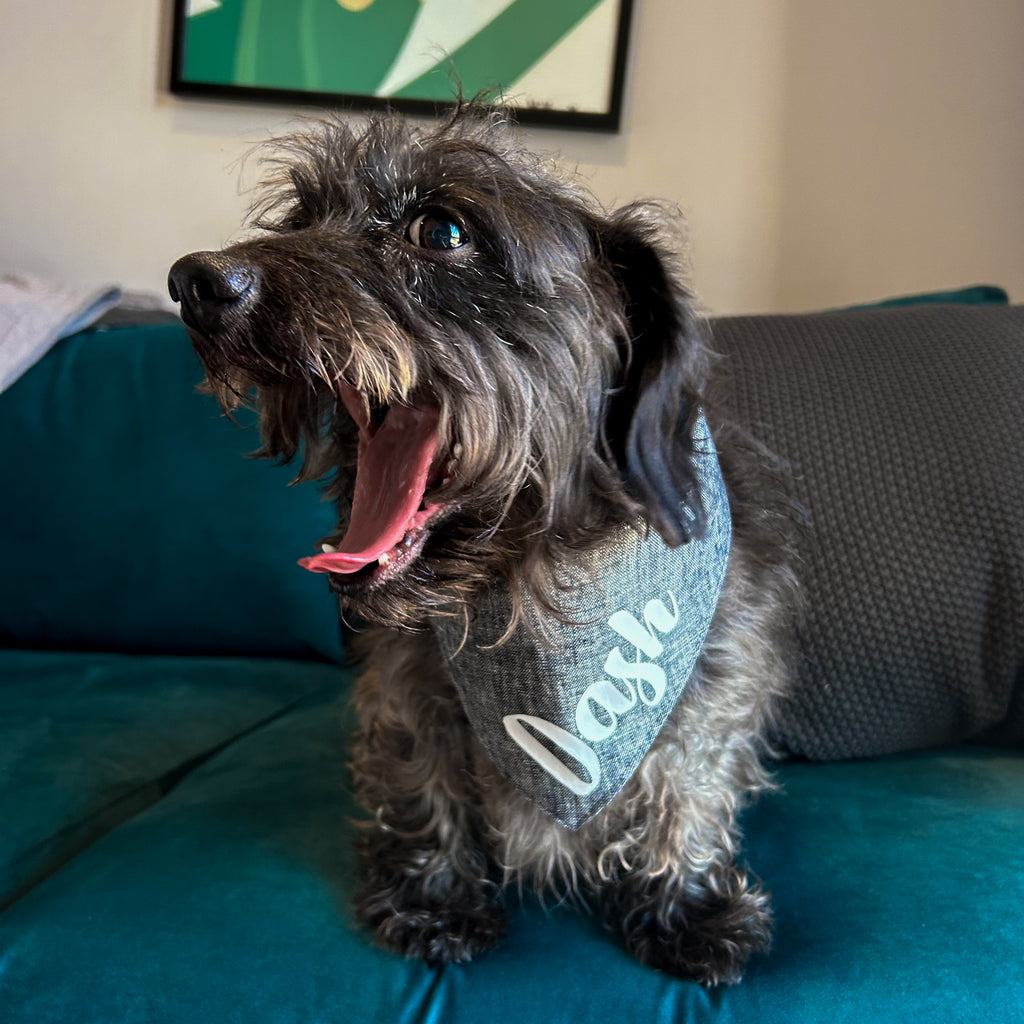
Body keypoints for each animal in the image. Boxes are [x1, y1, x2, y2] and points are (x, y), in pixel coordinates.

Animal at [167, 101, 794, 983]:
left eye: (443, 231)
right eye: (301, 217)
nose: (194, 282)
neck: (537, 595)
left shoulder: (719, 678)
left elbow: (689, 780)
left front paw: (685, 901)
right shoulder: (403, 682)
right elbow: (421, 771)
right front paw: (433, 894)